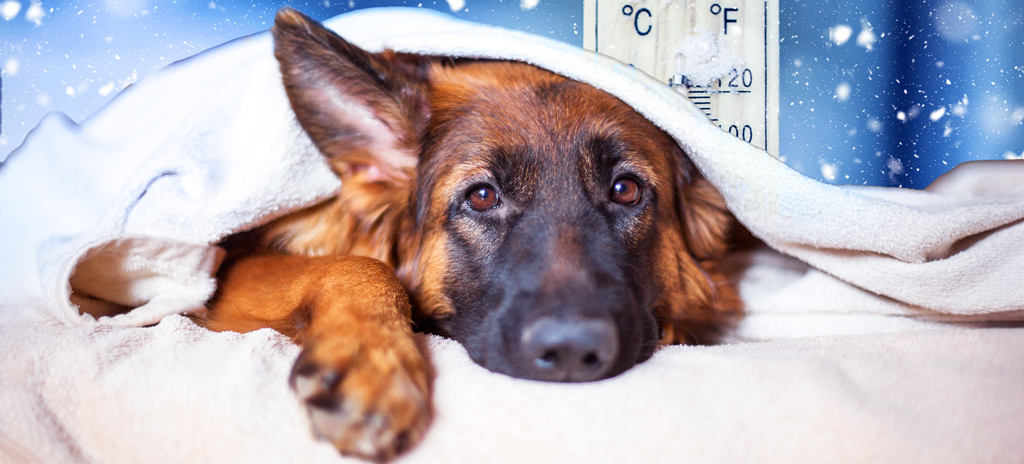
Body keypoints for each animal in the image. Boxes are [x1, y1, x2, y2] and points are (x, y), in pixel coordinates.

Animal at [203, 7, 741, 458]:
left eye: (626, 190)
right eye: (482, 196)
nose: (571, 350)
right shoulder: (227, 276)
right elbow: (361, 264)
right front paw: (372, 359)